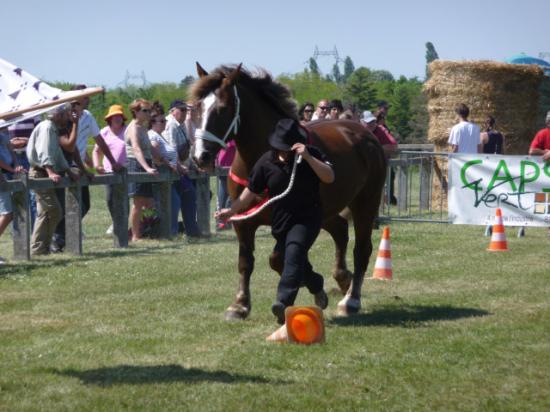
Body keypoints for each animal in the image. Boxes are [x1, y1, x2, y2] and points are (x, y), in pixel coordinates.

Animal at [192, 62, 386, 320]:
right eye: (196, 108)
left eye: (222, 109)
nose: (200, 156)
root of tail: (364, 134)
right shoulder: (243, 221)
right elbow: (246, 262)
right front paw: (240, 305)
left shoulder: (290, 219)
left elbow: (278, 259)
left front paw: (311, 285)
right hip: (328, 211)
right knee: (340, 230)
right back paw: (343, 278)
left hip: (366, 202)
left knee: (361, 249)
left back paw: (351, 300)